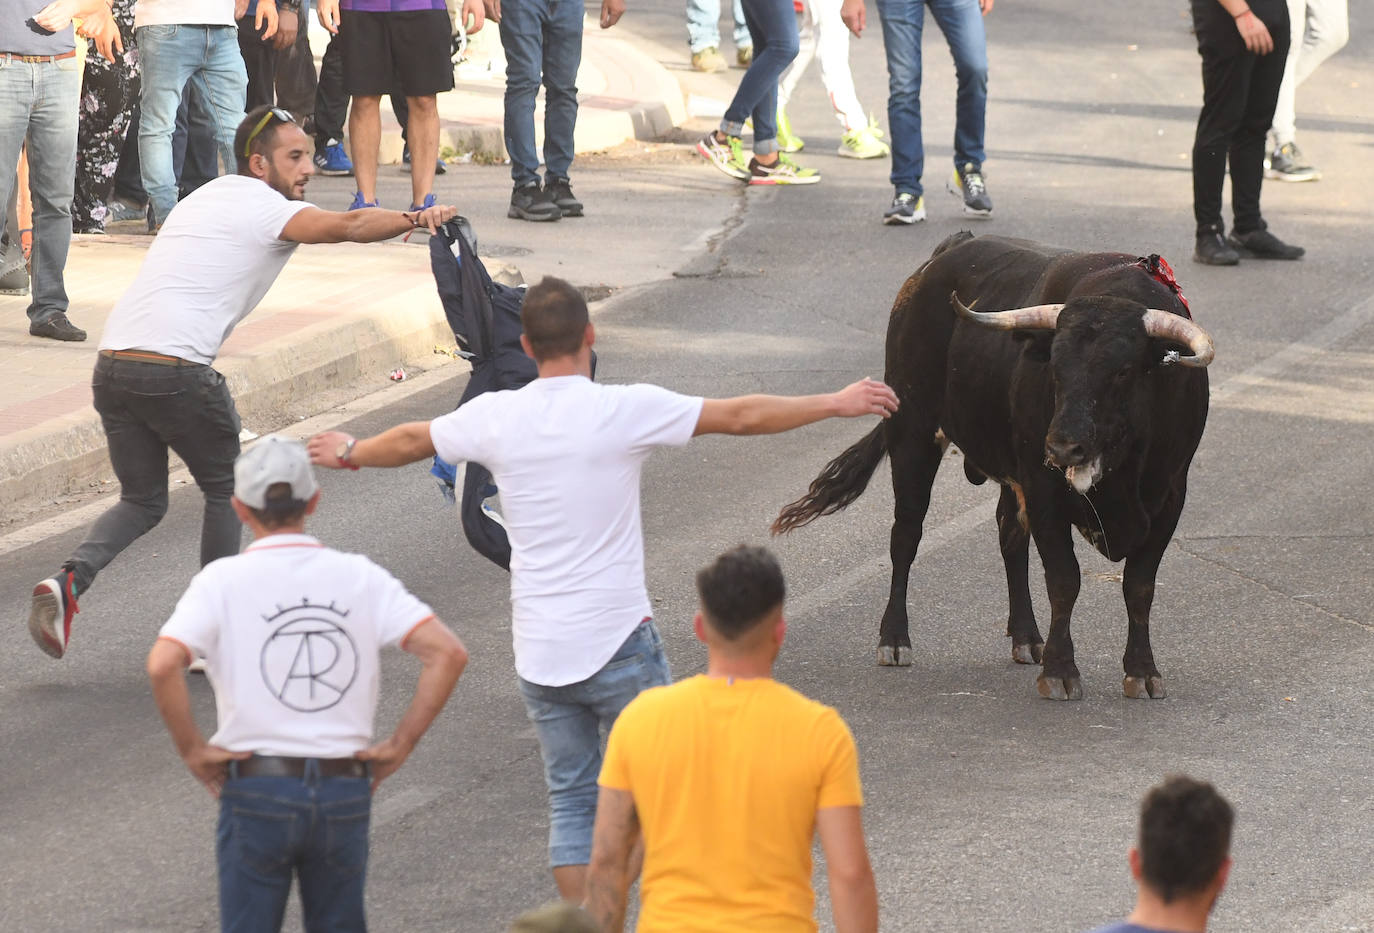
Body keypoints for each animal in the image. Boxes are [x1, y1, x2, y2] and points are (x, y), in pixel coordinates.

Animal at [774, 233, 1214, 700]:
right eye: (1055, 366)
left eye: (1124, 370)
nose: (1063, 447)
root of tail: (948, 251)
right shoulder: (1043, 488)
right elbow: (1064, 579)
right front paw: (1060, 671)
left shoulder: (1171, 495)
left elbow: (1139, 586)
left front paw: (1143, 671)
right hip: (912, 433)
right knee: (906, 534)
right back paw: (894, 639)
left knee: (1009, 535)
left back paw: (1026, 637)